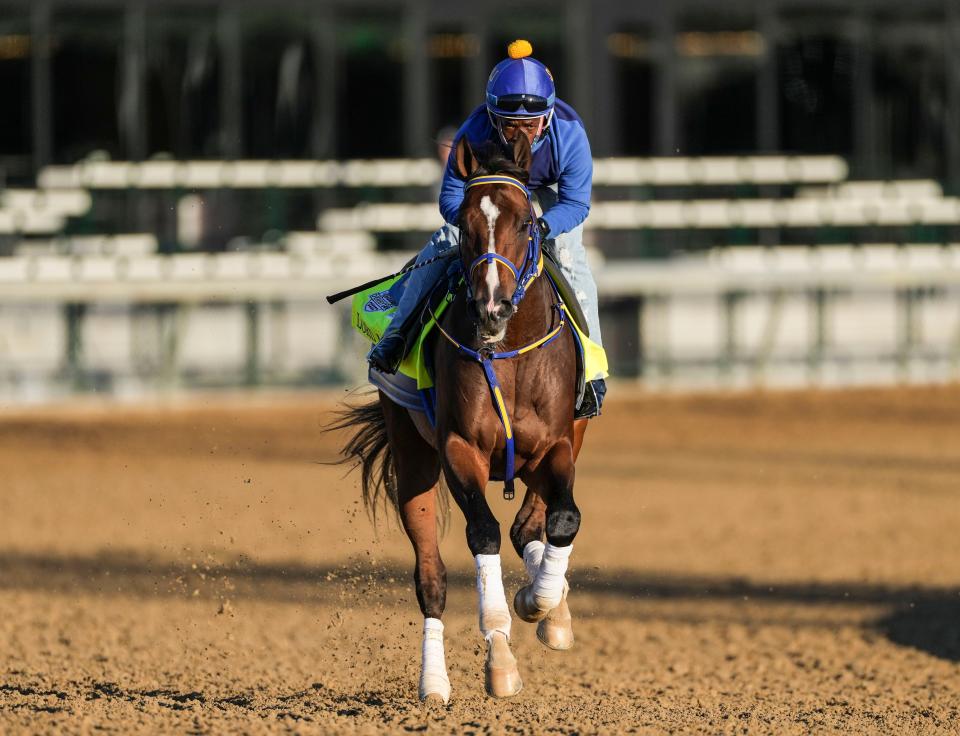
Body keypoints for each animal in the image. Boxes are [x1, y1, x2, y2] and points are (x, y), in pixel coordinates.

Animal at [334, 134, 588, 700]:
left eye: (526, 222)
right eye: (466, 223)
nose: (491, 308)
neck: (507, 353)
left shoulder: (556, 445)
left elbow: (561, 518)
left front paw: (543, 605)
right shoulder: (458, 450)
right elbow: (484, 533)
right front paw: (501, 658)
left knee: (531, 524)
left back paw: (551, 606)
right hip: (412, 461)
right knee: (431, 577)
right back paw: (434, 684)